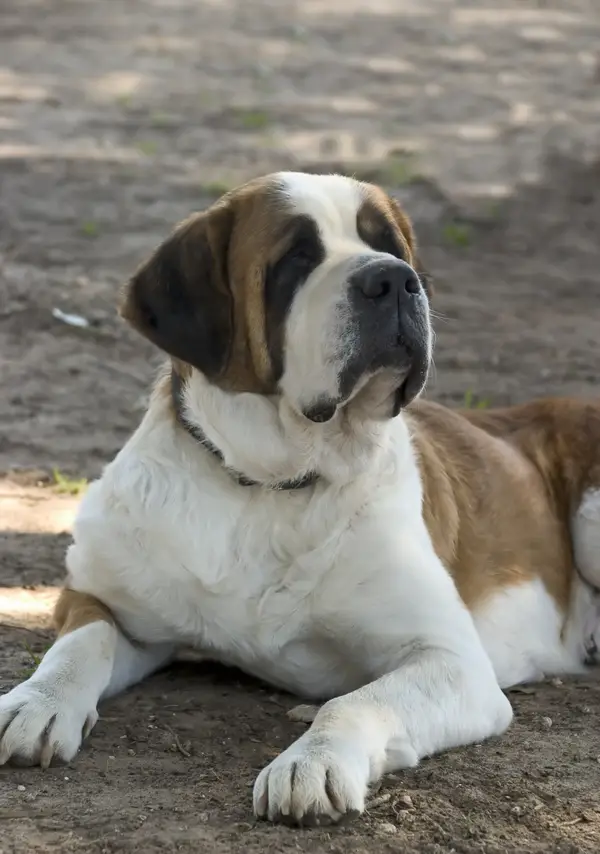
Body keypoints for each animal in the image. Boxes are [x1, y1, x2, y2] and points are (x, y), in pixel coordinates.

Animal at [1, 172, 600, 828]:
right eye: (296, 258)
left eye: (388, 245)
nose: (393, 278)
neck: (270, 485)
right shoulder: (104, 597)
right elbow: (82, 643)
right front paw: (34, 703)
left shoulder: (451, 661)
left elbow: (355, 702)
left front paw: (311, 763)